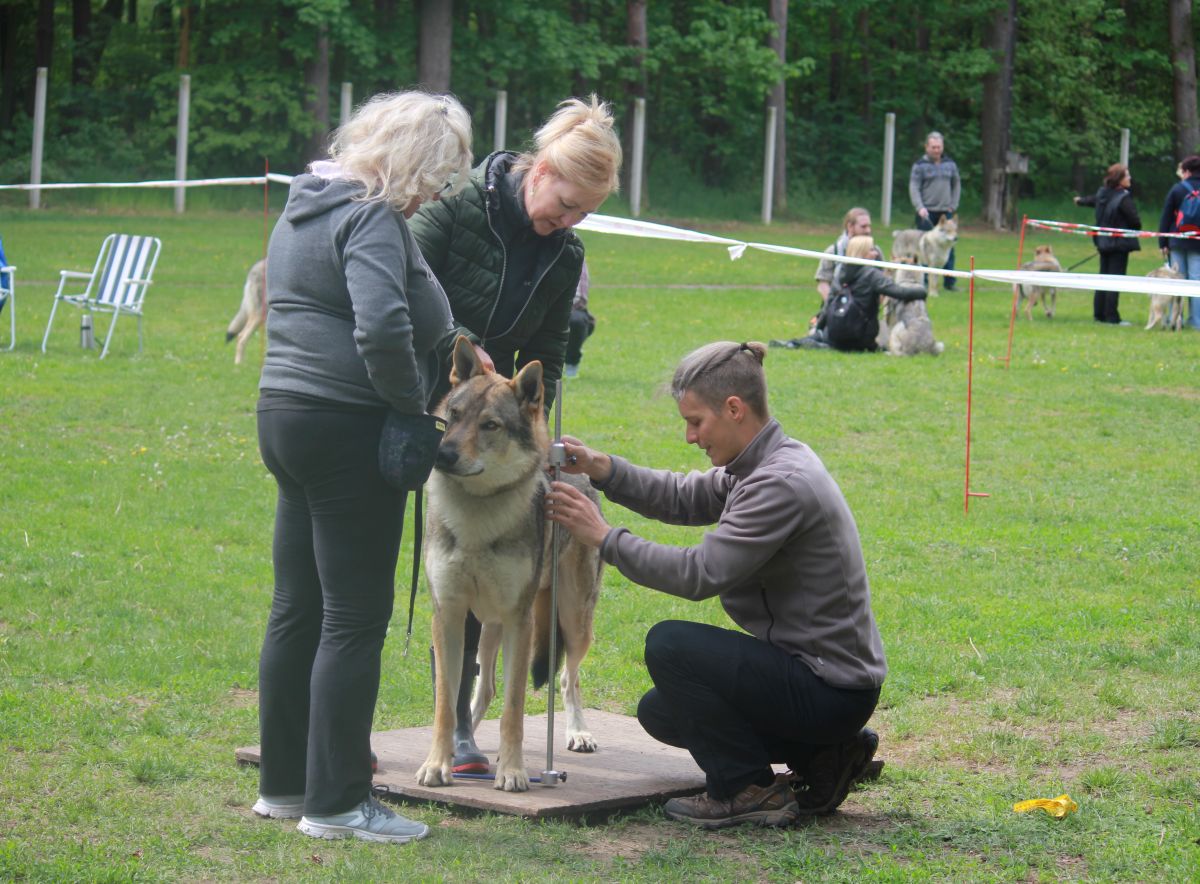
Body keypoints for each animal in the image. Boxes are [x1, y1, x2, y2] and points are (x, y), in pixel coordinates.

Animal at [420, 338, 604, 791]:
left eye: (490, 425)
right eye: (453, 417)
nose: (443, 455)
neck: (477, 515)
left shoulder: (521, 621)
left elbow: (515, 709)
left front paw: (514, 772)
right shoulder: (448, 614)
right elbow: (446, 703)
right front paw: (438, 764)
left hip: (572, 622)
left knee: (567, 678)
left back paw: (578, 733)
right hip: (488, 625)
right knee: (483, 689)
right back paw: (469, 748)